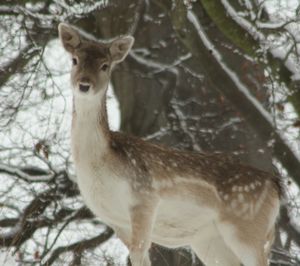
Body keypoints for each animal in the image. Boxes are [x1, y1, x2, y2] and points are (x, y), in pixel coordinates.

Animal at [58, 23, 282, 266]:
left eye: (105, 65)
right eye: (75, 60)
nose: (84, 85)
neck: (98, 166)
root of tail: (276, 187)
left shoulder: (144, 198)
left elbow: (139, 253)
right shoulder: (115, 220)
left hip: (248, 229)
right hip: (210, 241)